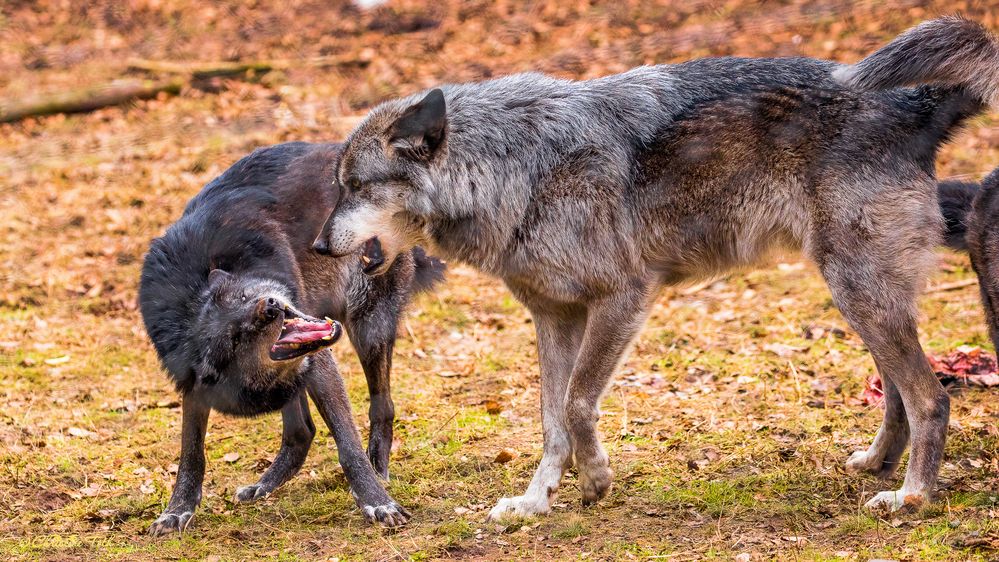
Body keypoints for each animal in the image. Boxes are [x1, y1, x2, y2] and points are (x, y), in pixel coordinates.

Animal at [139, 141, 444, 532]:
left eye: (243, 297)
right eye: (237, 336)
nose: (270, 305)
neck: (193, 297)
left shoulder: (319, 360)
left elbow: (347, 444)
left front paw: (377, 502)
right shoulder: (193, 384)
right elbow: (191, 452)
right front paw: (177, 510)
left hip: (368, 326)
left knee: (382, 408)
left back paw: (378, 470)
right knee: (302, 432)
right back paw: (266, 485)